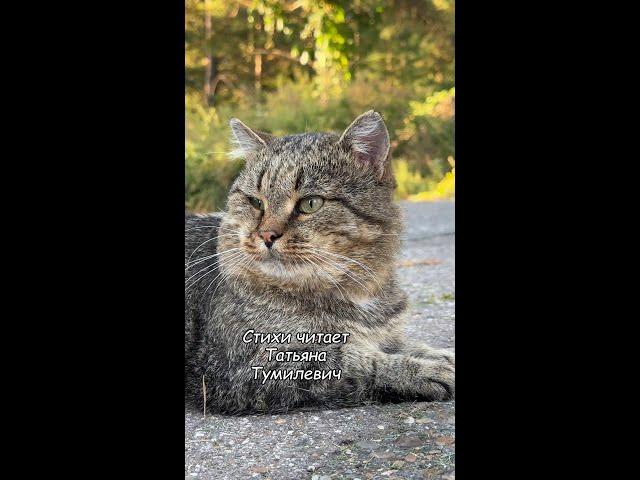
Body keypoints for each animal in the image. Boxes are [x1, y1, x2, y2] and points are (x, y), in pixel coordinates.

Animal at [185, 110, 456, 414]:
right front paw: (419, 369)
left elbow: (404, 344)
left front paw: (437, 354)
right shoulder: (245, 367)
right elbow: (354, 360)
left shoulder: (386, 334)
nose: (266, 235)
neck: (358, 293)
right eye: (256, 202)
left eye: (311, 203)